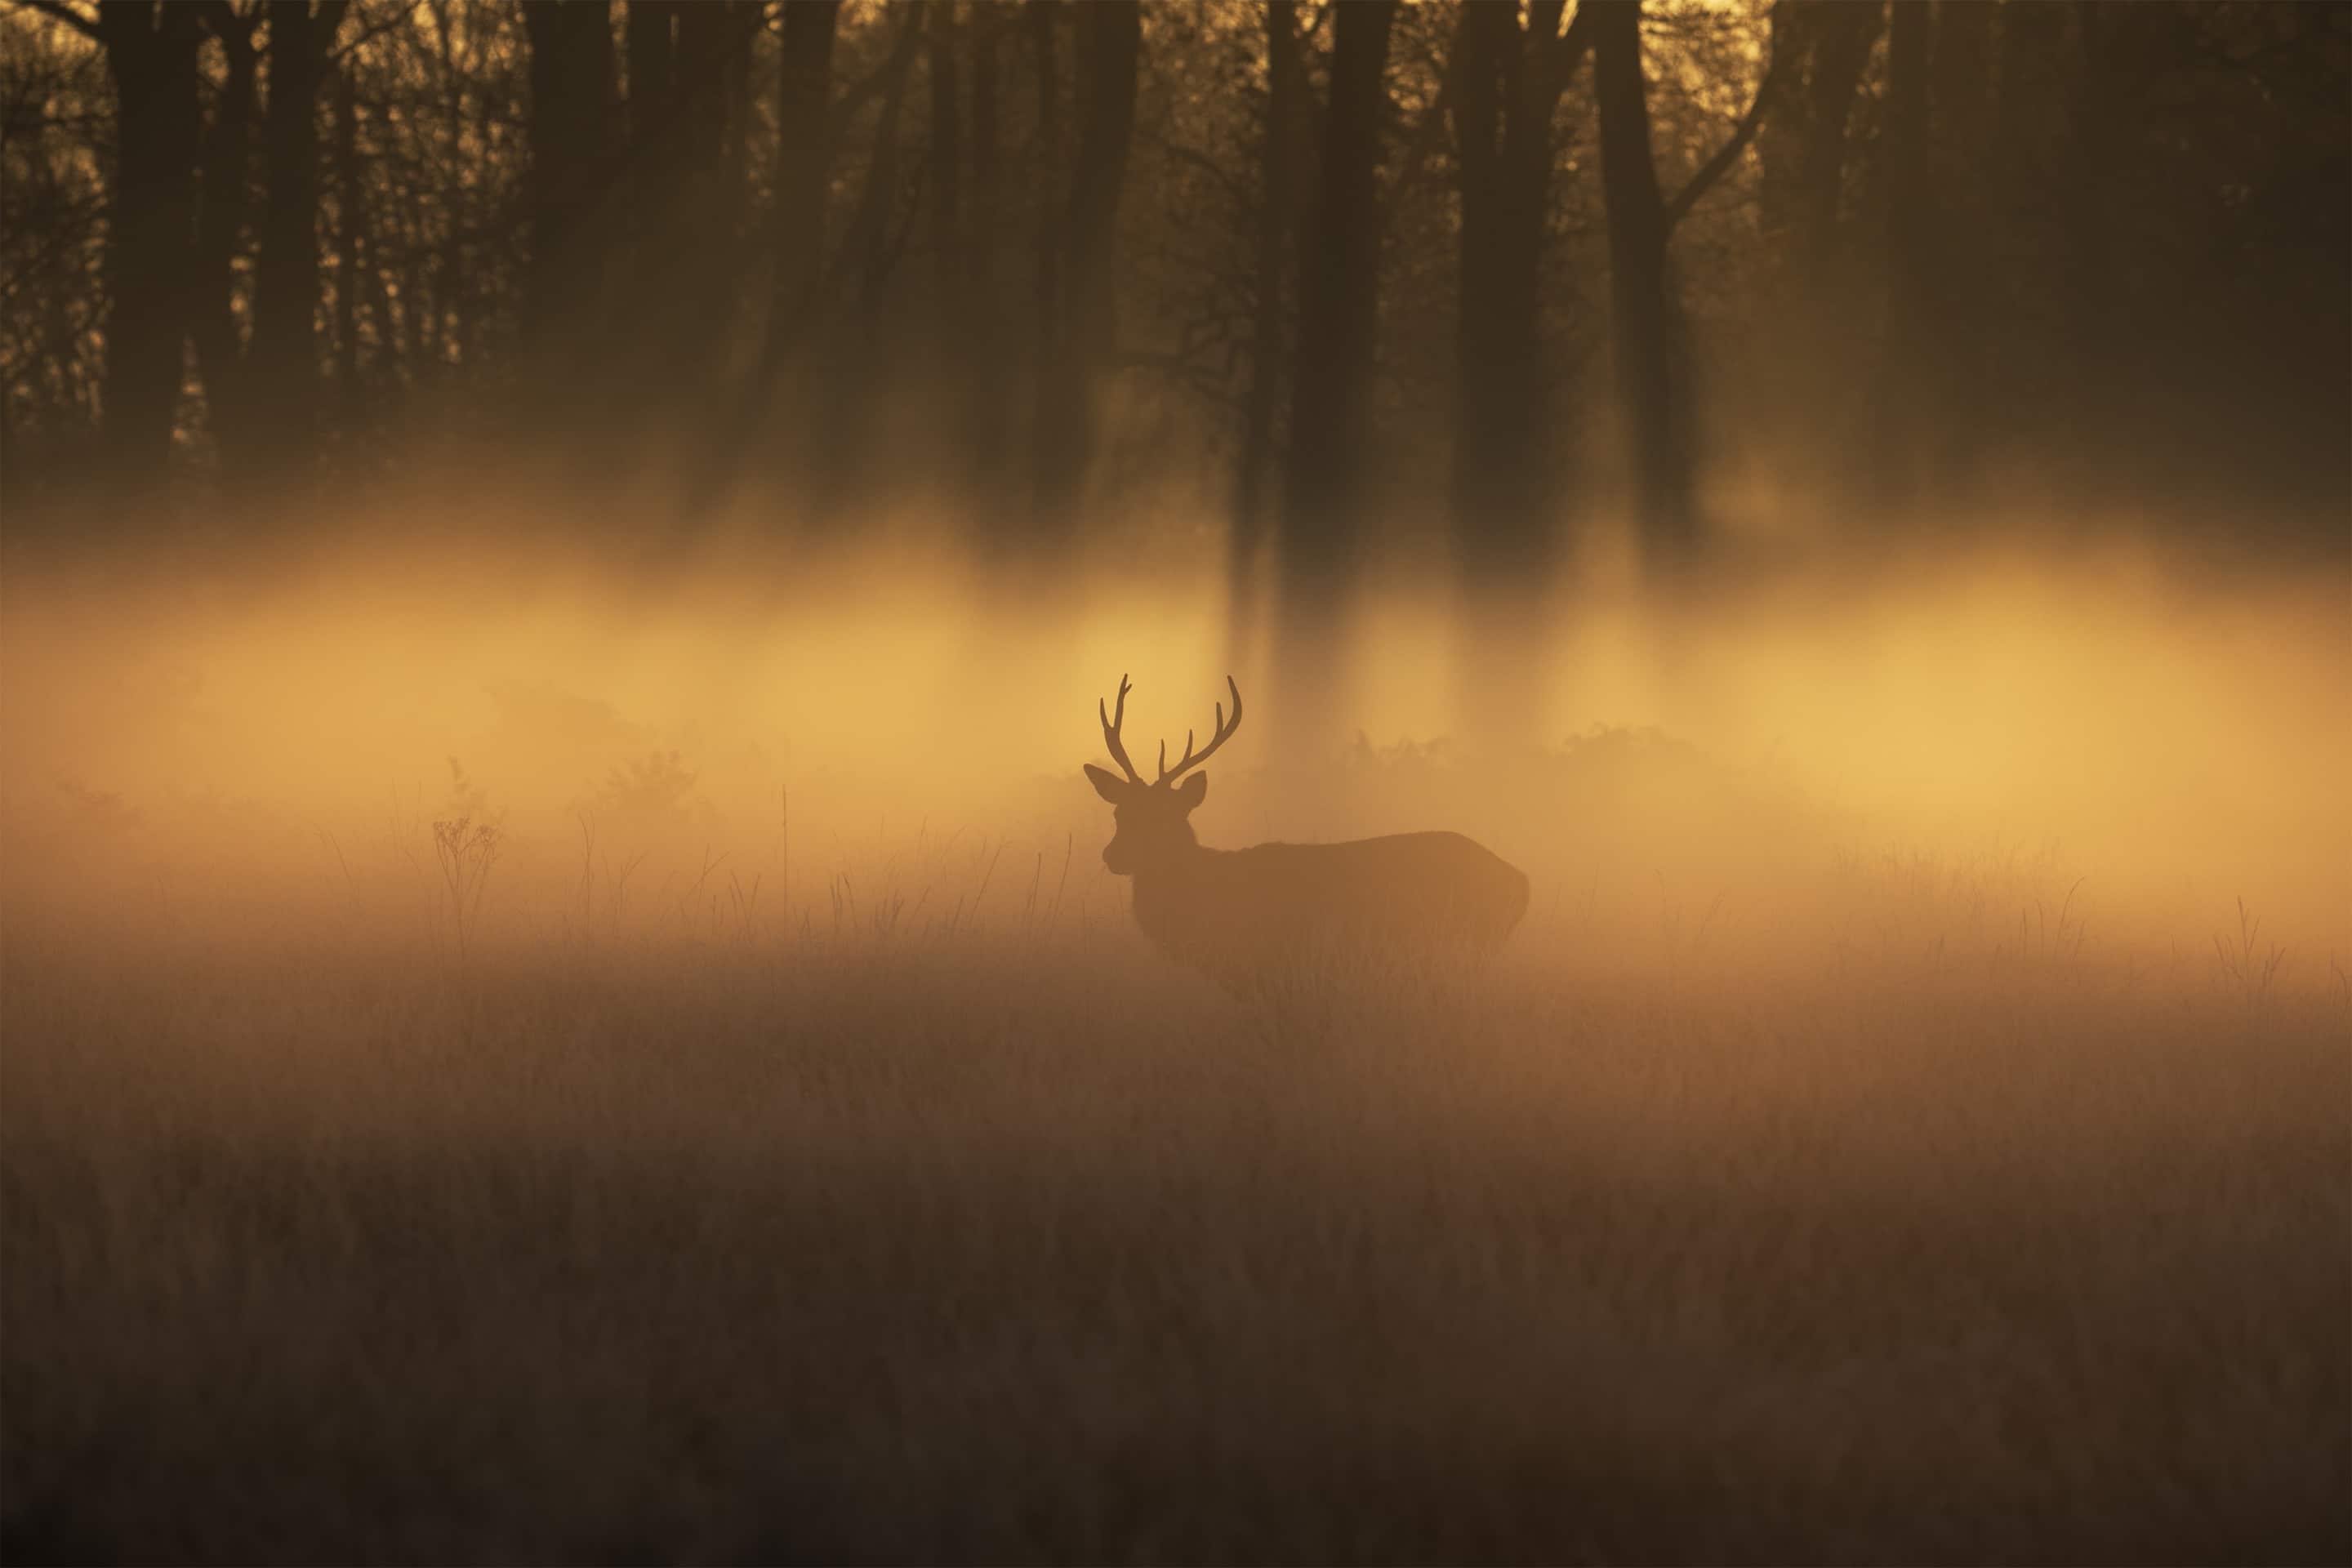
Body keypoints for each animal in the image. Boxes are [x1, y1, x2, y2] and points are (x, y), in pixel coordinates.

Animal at [1083, 675, 1529, 991]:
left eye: (1165, 818)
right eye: (1119, 813)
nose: (1112, 856)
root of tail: (1521, 881)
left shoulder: (1277, 967)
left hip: (1463, 945)